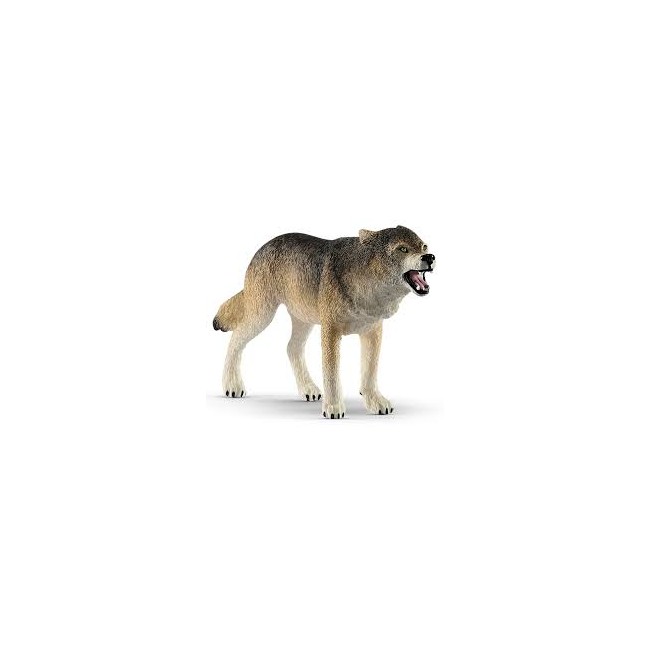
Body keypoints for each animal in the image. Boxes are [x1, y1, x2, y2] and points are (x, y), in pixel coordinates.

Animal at [212, 225, 435, 418]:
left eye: (424, 246)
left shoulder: (373, 331)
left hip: (303, 319)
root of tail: (263, 247)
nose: (430, 257)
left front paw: (374, 401)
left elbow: (370, 372)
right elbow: (332, 374)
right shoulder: (331, 330)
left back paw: (308, 389)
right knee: (235, 340)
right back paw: (232, 386)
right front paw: (334, 408)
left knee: (291, 347)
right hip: (262, 315)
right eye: (403, 249)